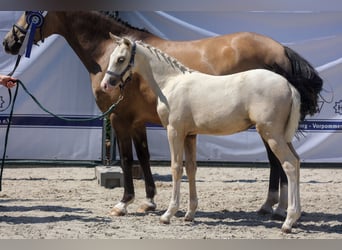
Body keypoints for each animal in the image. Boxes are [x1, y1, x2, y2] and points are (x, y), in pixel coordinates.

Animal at [2, 11, 322, 219]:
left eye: (30, 12)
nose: (9, 42)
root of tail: (282, 50)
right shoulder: (140, 122)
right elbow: (145, 159)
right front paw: (151, 202)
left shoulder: (121, 119)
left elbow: (132, 160)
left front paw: (127, 203)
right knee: (283, 161)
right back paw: (276, 208)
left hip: (266, 129)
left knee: (281, 162)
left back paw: (279, 210)